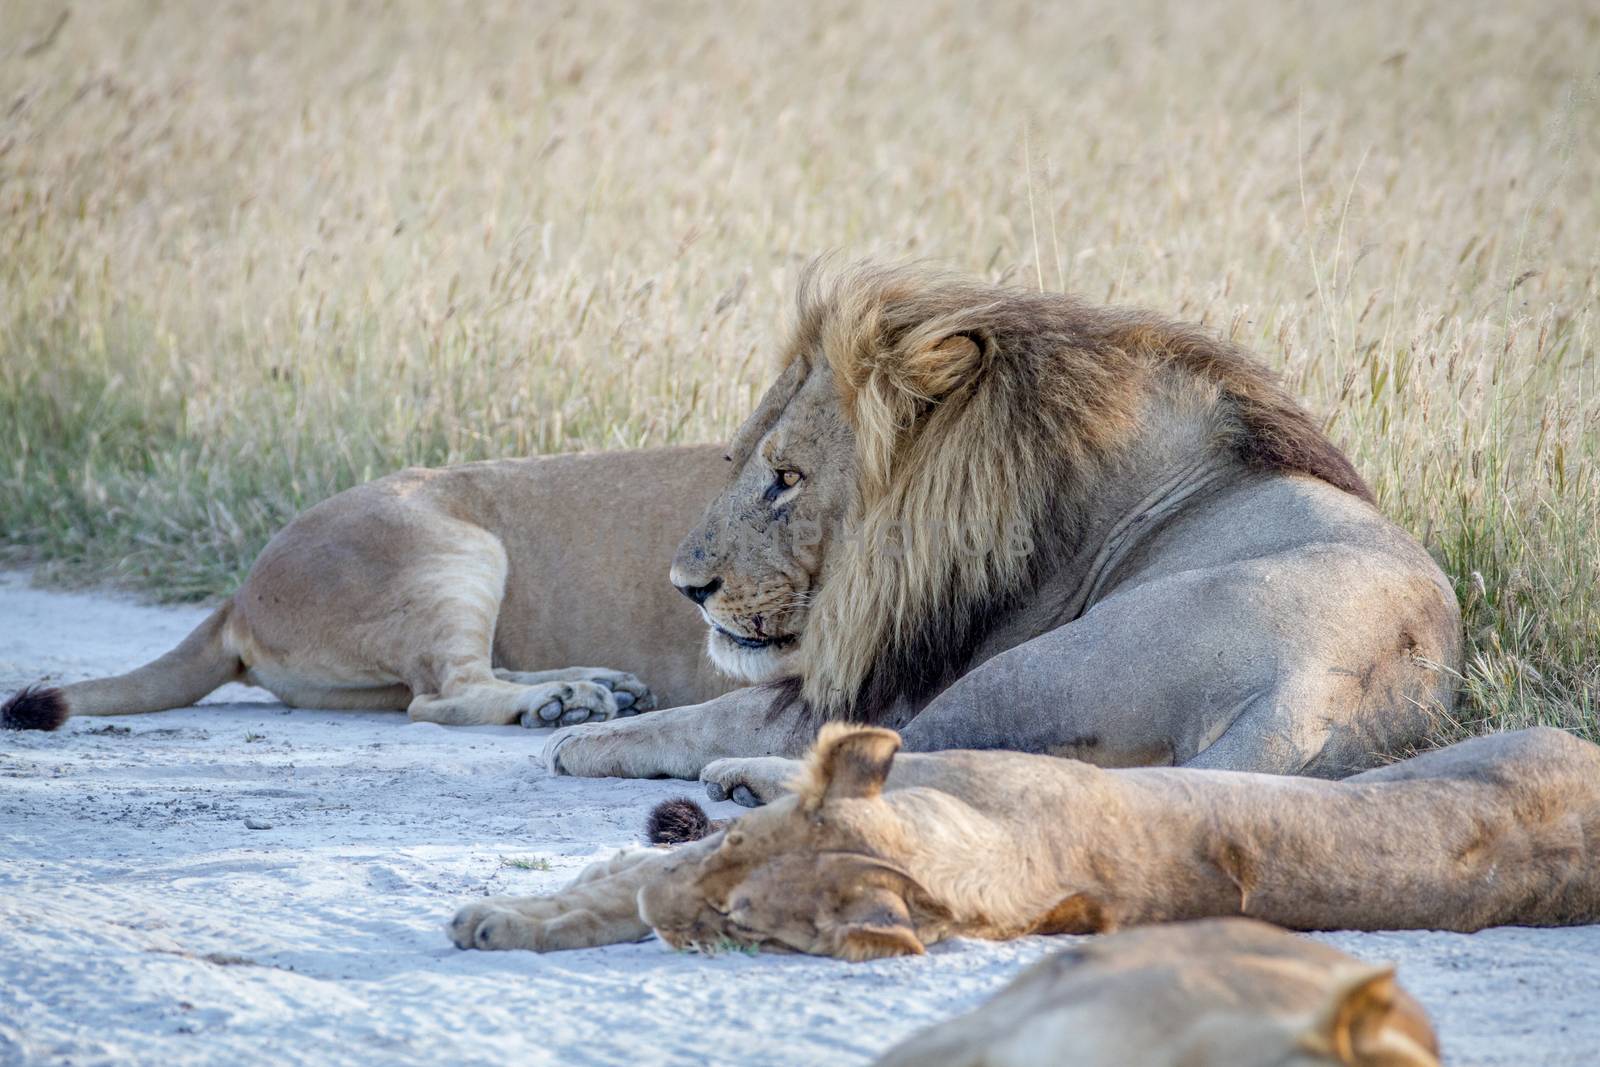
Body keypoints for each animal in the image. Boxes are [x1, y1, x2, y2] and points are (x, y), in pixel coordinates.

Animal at [0, 447, 732, 729]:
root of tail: (238, 596)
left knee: (449, 679)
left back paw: (608, 684)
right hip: (458, 551)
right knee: (444, 693)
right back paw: (568, 701)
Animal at [540, 262, 1465, 790]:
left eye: (787, 479)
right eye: (741, 463)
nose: (686, 587)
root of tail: (1317, 696)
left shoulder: (897, 674)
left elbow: (717, 711)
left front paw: (587, 737)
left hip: (1041, 663)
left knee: (902, 752)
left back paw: (743, 780)